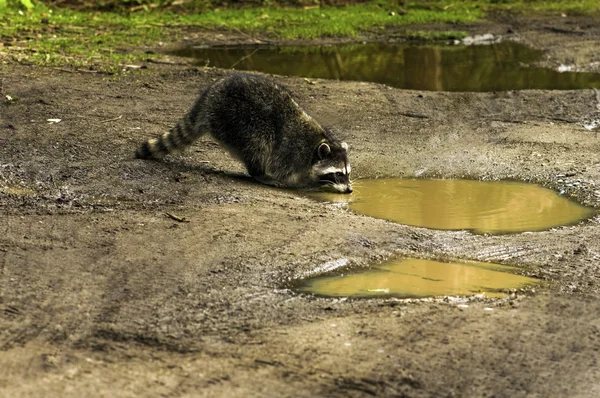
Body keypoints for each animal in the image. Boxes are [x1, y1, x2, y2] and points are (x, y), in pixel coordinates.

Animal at [136, 74, 352, 194]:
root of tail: (208, 99)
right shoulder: (291, 150)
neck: (317, 143)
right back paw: (260, 174)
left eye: (347, 173)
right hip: (239, 119)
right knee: (260, 143)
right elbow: (286, 174)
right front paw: (311, 183)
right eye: (337, 174)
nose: (350, 189)